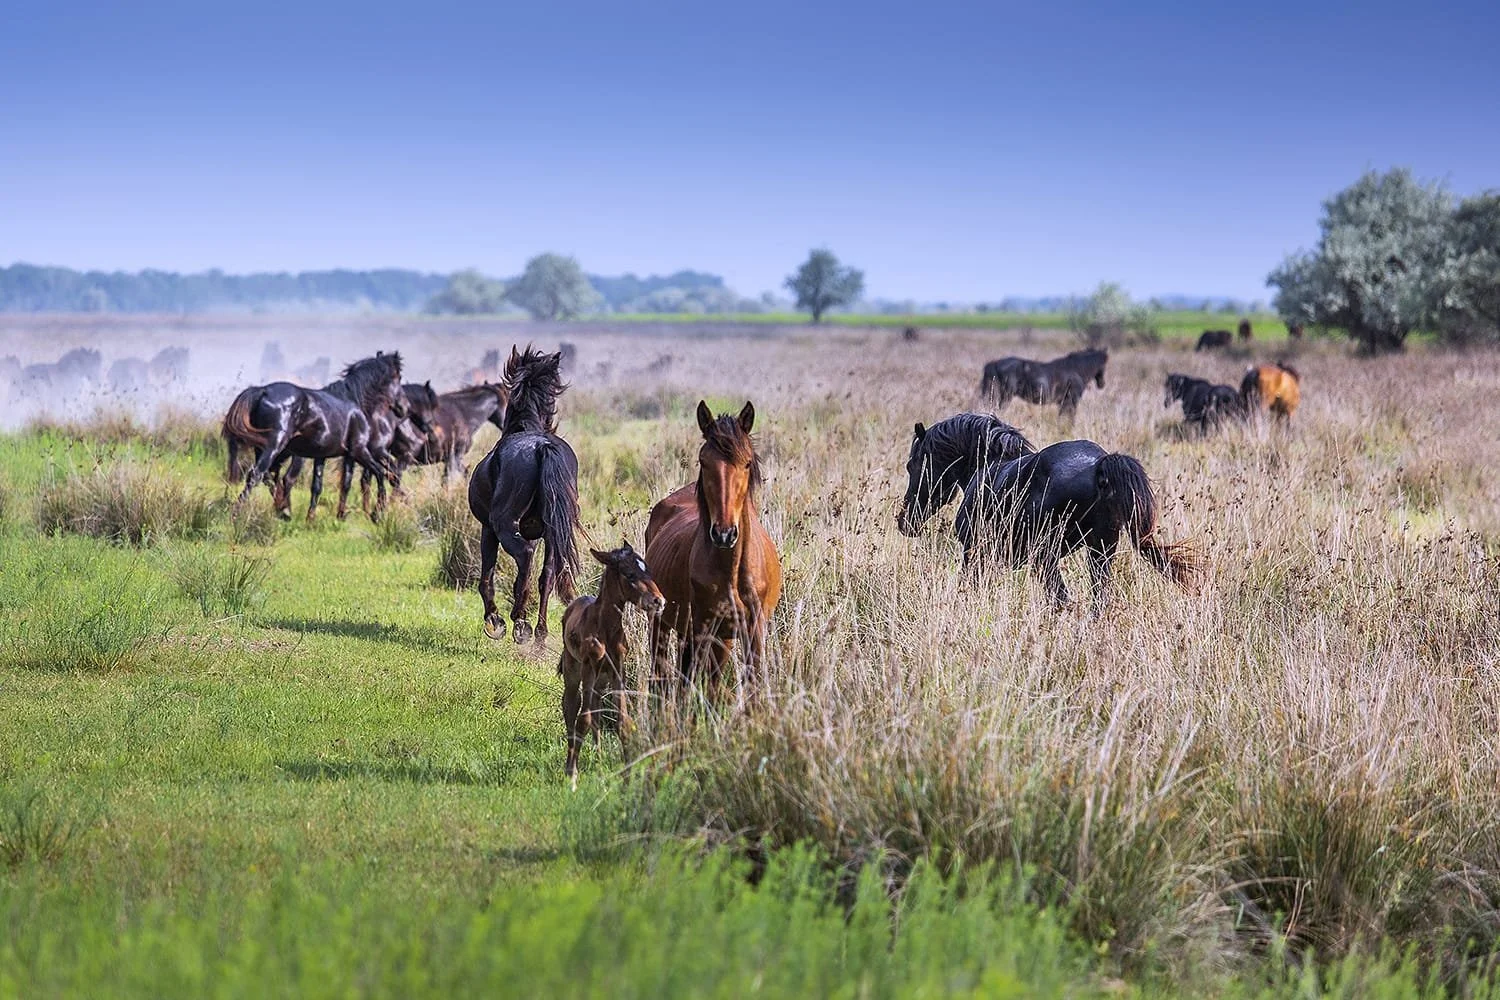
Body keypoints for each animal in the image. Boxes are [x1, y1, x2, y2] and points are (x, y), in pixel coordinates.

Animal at [222, 352, 407, 521]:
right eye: (398, 377)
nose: (403, 408)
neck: (353, 401)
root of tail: (262, 391)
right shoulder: (357, 451)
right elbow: (373, 475)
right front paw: (375, 514)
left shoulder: (323, 456)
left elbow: (319, 485)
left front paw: (313, 518)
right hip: (275, 446)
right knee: (257, 475)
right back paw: (238, 513)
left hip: (265, 449)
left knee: (268, 476)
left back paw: (283, 510)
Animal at [469, 346, 582, 645]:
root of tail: (541, 446)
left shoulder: (487, 529)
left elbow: (486, 578)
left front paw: (494, 621)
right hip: (553, 533)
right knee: (547, 574)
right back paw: (539, 632)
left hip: (504, 525)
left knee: (526, 557)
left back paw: (519, 621)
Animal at [559, 541, 665, 788]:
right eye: (629, 574)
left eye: (648, 570)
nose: (658, 601)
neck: (606, 628)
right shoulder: (589, 667)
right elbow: (583, 719)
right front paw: (573, 777)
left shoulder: (618, 671)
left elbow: (623, 723)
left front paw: (627, 777)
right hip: (574, 670)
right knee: (571, 707)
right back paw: (571, 766)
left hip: (601, 680)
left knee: (597, 713)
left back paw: (598, 763)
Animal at [645, 401, 782, 702]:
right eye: (704, 461)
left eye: (746, 463)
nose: (724, 533)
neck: (732, 570)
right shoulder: (704, 629)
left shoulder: (752, 632)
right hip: (664, 625)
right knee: (662, 673)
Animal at [955, 440, 1202, 610]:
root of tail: (1098, 466)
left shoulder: (974, 553)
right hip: (1100, 550)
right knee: (1098, 596)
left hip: (1046, 554)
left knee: (1061, 596)